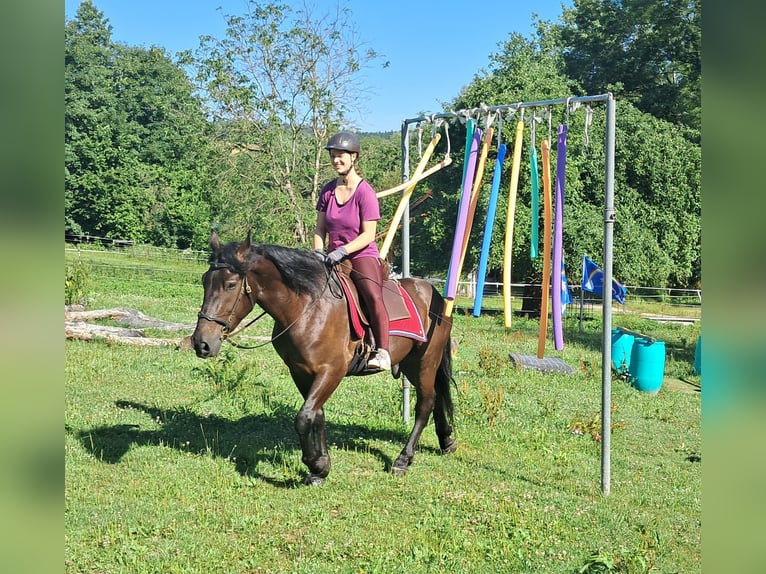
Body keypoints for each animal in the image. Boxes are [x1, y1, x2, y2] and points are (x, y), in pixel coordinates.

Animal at [191, 231, 456, 485]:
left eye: (230, 284)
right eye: (204, 281)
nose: (201, 343)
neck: (306, 308)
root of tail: (434, 295)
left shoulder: (332, 371)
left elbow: (303, 417)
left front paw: (316, 465)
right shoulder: (300, 371)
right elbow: (316, 415)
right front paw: (321, 465)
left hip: (425, 362)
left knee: (426, 403)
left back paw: (403, 459)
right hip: (411, 364)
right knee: (436, 398)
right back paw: (446, 440)